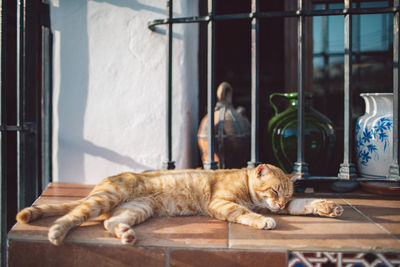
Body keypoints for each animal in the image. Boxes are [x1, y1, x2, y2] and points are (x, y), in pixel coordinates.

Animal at [17, 164, 344, 246]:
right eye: (274, 190)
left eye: (285, 196)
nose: (278, 204)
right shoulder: (220, 203)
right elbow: (244, 213)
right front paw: (263, 221)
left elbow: (306, 203)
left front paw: (329, 207)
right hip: (103, 199)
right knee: (72, 215)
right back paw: (57, 234)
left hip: (136, 209)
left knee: (110, 223)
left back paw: (126, 235)